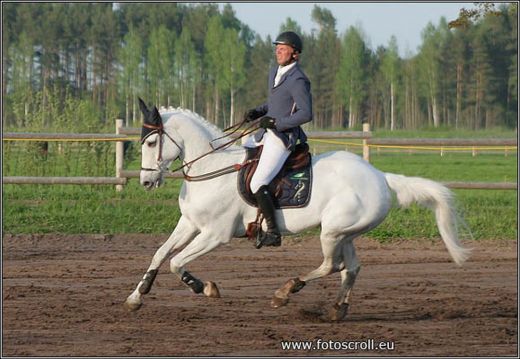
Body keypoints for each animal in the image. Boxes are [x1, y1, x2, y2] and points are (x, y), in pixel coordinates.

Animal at [126, 102, 472, 322]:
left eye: (152, 142)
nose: (145, 181)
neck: (211, 168)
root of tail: (380, 176)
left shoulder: (215, 234)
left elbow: (177, 262)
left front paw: (205, 288)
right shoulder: (190, 223)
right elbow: (161, 253)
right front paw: (136, 296)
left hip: (332, 231)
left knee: (331, 265)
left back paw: (286, 291)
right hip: (346, 233)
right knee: (350, 268)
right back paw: (337, 310)